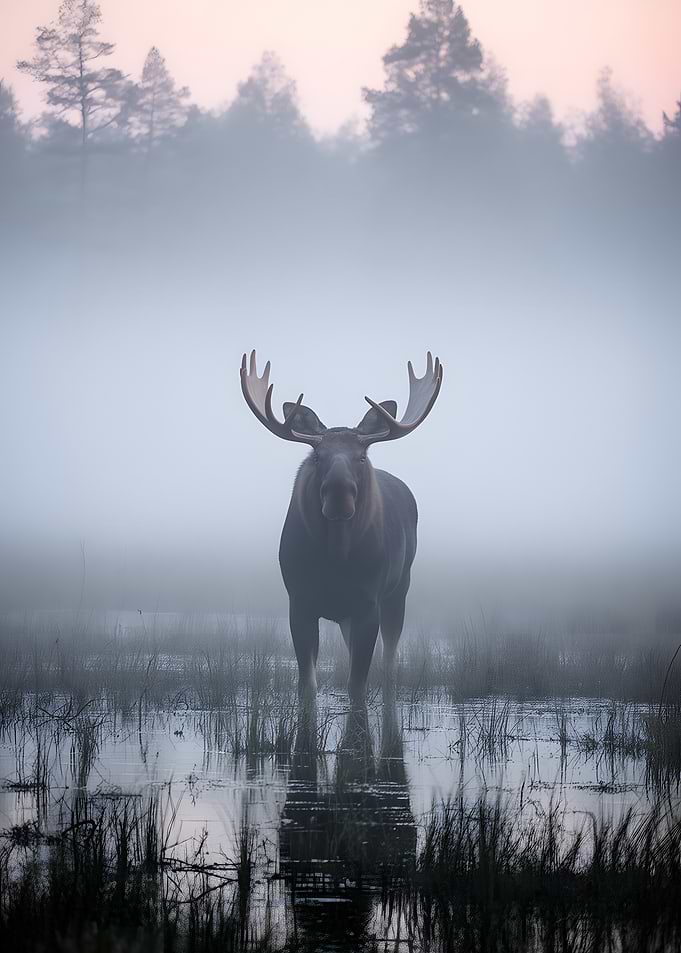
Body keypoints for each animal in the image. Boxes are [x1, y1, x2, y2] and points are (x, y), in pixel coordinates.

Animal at [240, 350, 443, 706]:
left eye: (361, 456)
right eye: (317, 456)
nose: (339, 497)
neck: (335, 557)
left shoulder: (368, 603)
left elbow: (357, 685)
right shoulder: (299, 601)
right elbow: (308, 685)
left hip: (399, 589)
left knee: (389, 663)